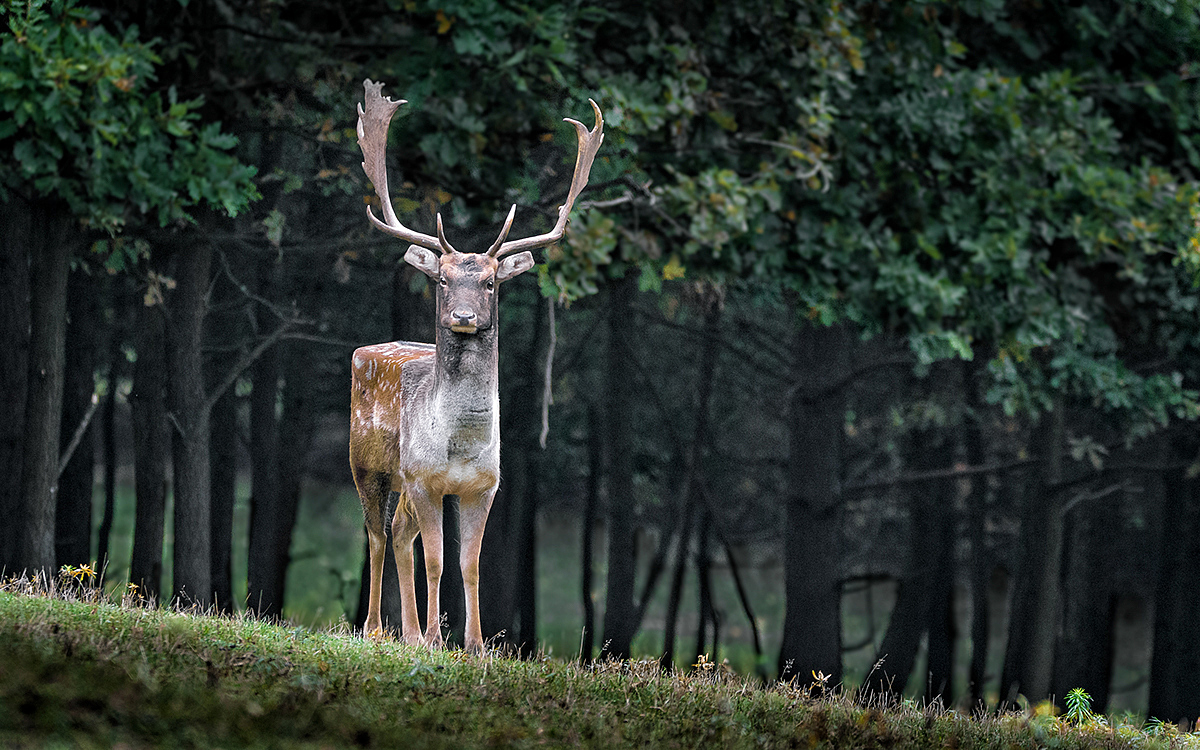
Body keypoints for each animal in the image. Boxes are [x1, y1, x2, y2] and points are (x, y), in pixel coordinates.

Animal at [350, 77, 604, 648]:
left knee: (398, 531)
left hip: (401, 482)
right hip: (367, 463)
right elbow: (438, 561)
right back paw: (377, 629)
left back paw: (409, 633)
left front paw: (475, 645)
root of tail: (363, 352)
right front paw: (439, 640)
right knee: (376, 533)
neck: (460, 445)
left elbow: (469, 564)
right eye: (443, 278)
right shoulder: (424, 477)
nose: (463, 315)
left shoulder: (484, 486)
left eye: (489, 282)